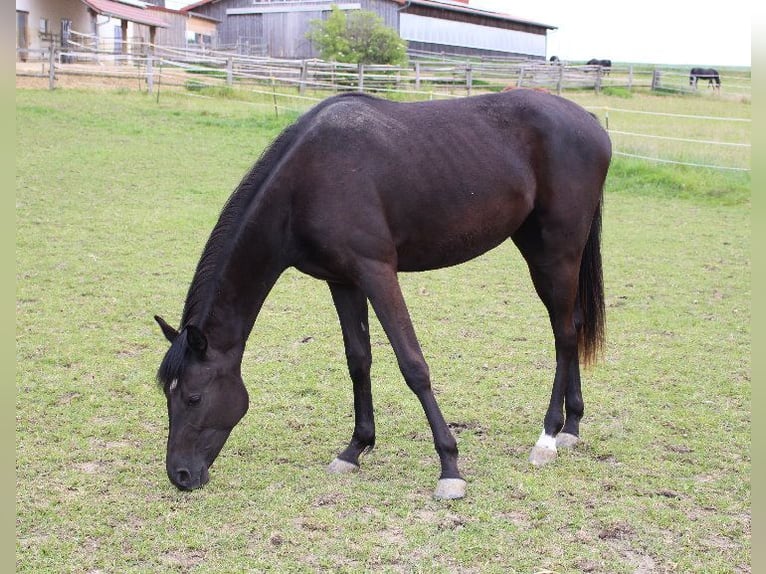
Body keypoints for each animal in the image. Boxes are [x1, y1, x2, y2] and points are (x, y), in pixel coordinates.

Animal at [156, 88, 612, 502]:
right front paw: (354, 449)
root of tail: (589, 121)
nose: (180, 475)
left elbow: (413, 365)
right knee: (572, 326)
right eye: (168, 395)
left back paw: (547, 438)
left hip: (556, 251)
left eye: (194, 397)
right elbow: (358, 361)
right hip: (540, 248)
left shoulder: (376, 272)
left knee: (563, 335)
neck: (307, 180)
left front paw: (450, 468)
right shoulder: (342, 281)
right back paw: (572, 427)